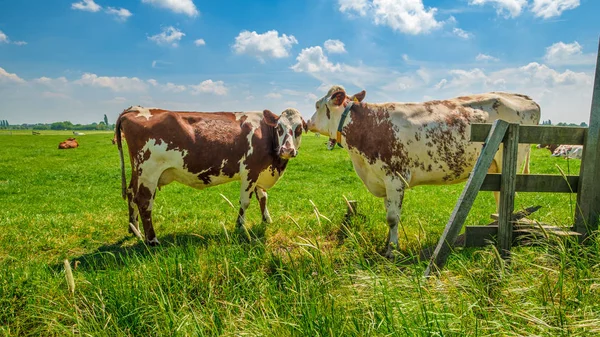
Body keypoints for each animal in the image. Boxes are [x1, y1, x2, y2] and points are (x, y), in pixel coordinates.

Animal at [115, 105, 308, 244]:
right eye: (279, 128)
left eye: (299, 129)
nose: (287, 150)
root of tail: (136, 108)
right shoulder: (250, 171)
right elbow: (245, 201)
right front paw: (240, 226)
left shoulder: (260, 173)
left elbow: (263, 197)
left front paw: (266, 220)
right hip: (149, 172)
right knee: (144, 202)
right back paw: (152, 240)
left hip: (138, 172)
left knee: (132, 194)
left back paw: (135, 230)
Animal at [308, 85, 540, 256]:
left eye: (317, 105)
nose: (307, 122)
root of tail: (524, 97)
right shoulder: (383, 180)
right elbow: (388, 214)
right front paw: (387, 244)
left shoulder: (395, 178)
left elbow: (392, 218)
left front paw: (392, 252)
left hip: (512, 160)